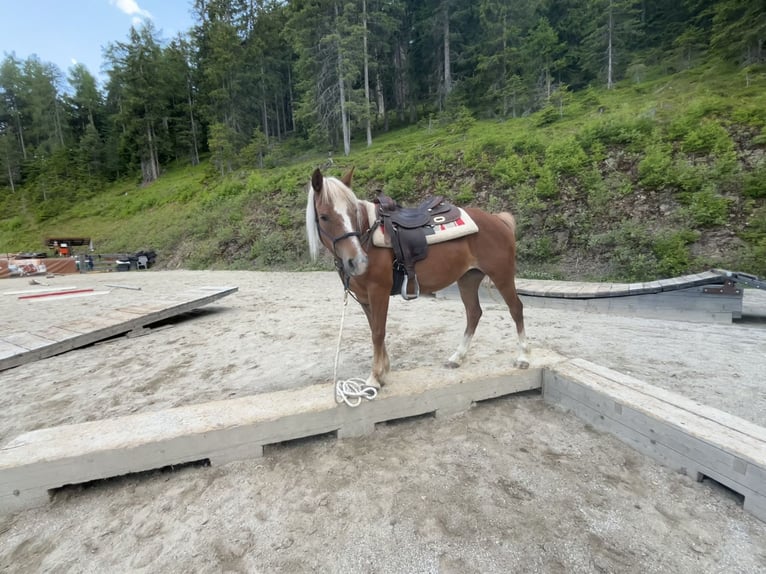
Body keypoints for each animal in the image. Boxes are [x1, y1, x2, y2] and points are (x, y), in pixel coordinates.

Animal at [306, 168, 529, 389]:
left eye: (354, 212)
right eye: (324, 217)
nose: (358, 261)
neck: (367, 237)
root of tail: (497, 219)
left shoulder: (378, 292)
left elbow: (378, 332)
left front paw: (375, 378)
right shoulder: (364, 298)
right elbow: (375, 330)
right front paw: (383, 372)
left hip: (502, 275)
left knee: (516, 308)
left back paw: (523, 357)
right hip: (468, 279)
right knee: (474, 313)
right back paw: (457, 357)